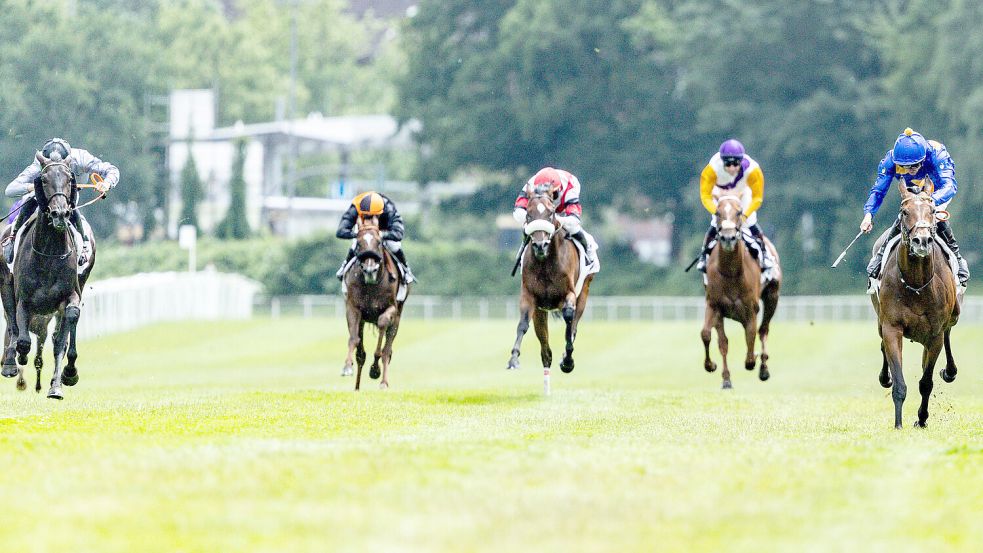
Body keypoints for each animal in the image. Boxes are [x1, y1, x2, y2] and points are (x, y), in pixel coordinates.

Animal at [0, 150, 95, 396]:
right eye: (43, 179)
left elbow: (63, 335)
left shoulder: (70, 294)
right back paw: (11, 363)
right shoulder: (24, 299)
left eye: (70, 179)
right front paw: (20, 357)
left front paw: (64, 378)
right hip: (5, 282)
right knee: (12, 323)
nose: (60, 213)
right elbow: (22, 337)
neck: (50, 254)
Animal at [340, 218, 406, 390]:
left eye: (379, 242)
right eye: (358, 243)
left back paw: (383, 382)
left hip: (397, 320)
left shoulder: (391, 308)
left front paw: (375, 370)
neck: (371, 284)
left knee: (387, 350)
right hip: (363, 321)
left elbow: (382, 325)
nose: (370, 269)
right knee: (361, 354)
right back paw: (357, 387)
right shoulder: (353, 308)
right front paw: (347, 366)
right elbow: (354, 339)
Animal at [508, 194, 592, 392]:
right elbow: (522, 325)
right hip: (540, 312)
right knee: (546, 351)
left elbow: (569, 320)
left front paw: (567, 361)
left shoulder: (569, 294)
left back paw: (566, 360)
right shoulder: (530, 298)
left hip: (584, 292)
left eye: (551, 213)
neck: (546, 263)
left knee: (573, 326)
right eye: (529, 214)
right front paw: (514, 359)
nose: (540, 245)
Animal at [700, 194, 784, 388]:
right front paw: (718, 372)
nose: (728, 237)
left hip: (772, 296)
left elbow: (751, 337)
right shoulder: (714, 306)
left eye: (739, 212)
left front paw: (753, 359)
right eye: (718, 212)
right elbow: (711, 337)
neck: (731, 273)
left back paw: (763, 368)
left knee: (763, 329)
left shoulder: (750, 309)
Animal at [872, 185, 956, 426]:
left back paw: (950, 371)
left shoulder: (935, 335)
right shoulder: (892, 328)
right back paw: (885, 377)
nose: (922, 241)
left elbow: (926, 382)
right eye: (904, 211)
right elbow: (900, 383)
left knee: (948, 334)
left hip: (953, 315)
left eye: (932, 210)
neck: (917, 283)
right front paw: (898, 424)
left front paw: (922, 418)